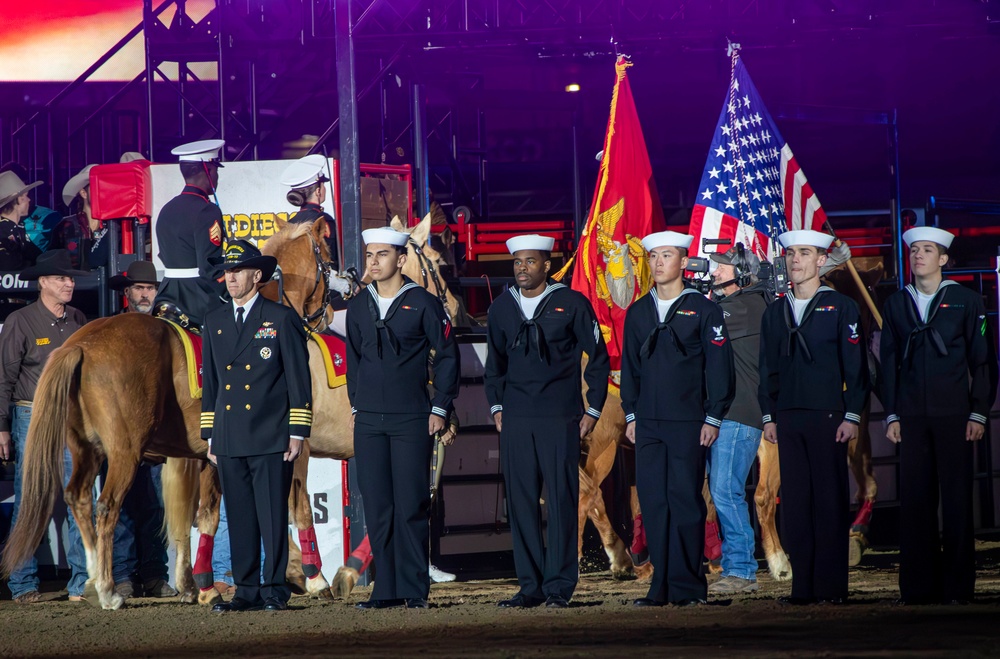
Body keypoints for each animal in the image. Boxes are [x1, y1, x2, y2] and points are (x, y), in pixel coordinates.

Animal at [0, 214, 458, 612]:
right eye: (437, 263)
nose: (452, 309)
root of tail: (81, 342)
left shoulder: (209, 456)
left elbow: (204, 517)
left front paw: (200, 587)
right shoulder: (295, 447)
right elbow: (296, 507)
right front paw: (314, 577)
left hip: (87, 450)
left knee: (78, 499)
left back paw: (98, 580)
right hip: (123, 453)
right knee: (107, 507)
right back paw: (109, 590)